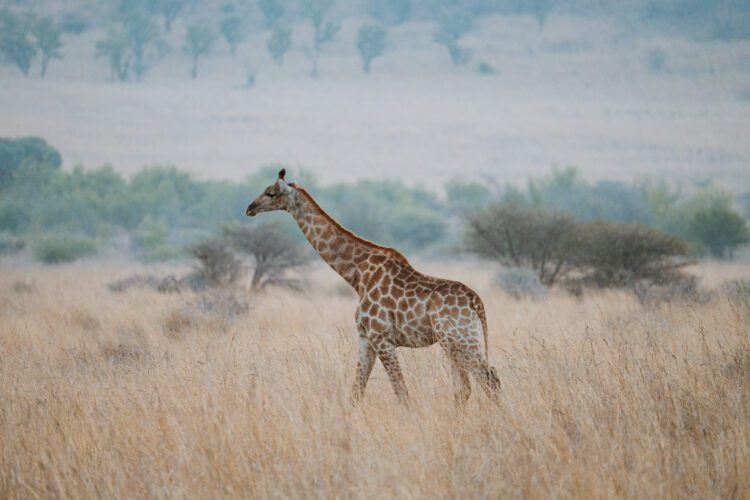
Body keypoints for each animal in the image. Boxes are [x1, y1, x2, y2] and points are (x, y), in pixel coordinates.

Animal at [250, 170, 502, 404]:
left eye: (270, 192)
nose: (250, 208)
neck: (356, 274)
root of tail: (477, 303)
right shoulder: (365, 338)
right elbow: (356, 392)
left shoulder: (381, 338)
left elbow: (401, 392)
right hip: (455, 344)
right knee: (466, 388)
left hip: (460, 340)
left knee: (488, 380)